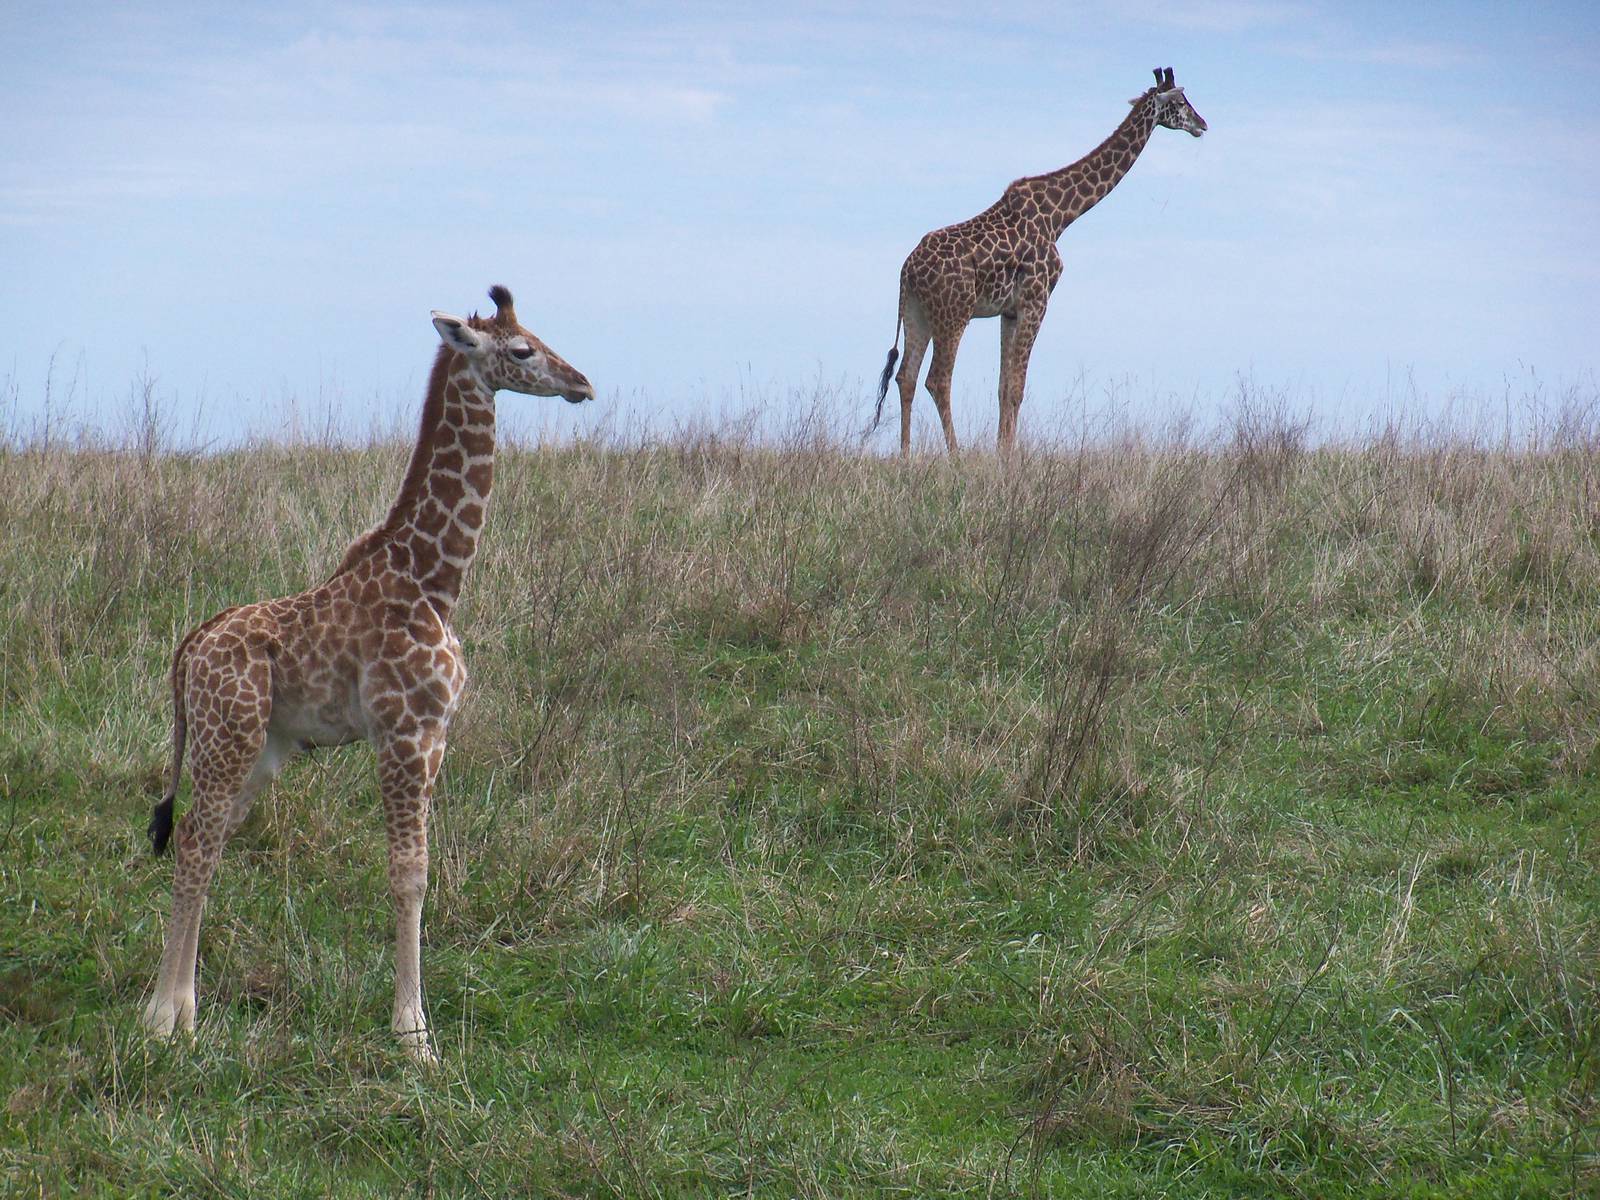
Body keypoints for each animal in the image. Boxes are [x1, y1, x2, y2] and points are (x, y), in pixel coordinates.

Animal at [142, 286, 593, 1063]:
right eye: (522, 350)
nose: (582, 384)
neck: (436, 579)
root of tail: (189, 647)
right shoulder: (407, 733)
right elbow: (409, 874)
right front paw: (414, 1035)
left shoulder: (434, 734)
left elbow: (417, 870)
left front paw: (412, 1027)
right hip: (227, 733)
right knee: (197, 841)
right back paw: (167, 1018)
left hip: (262, 746)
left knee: (209, 836)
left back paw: (181, 1012)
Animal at [874, 68, 1206, 456]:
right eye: (1181, 102)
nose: (1202, 124)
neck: (1061, 216)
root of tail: (907, 271)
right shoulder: (1037, 300)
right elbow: (1017, 389)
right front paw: (1009, 458)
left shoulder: (1010, 310)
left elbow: (1004, 388)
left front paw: (1002, 453)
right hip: (954, 312)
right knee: (937, 380)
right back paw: (955, 456)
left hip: (917, 312)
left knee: (906, 377)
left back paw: (906, 456)